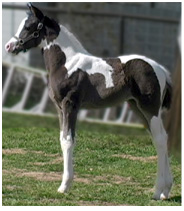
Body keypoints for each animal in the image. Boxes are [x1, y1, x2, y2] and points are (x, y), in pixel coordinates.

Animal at [5, 3, 173, 201]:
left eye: (29, 26)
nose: (9, 46)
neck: (66, 64)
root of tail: (160, 69)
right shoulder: (60, 109)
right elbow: (62, 138)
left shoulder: (70, 105)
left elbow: (68, 140)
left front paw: (64, 186)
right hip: (138, 108)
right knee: (159, 138)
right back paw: (165, 190)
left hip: (149, 108)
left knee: (161, 139)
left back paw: (158, 191)